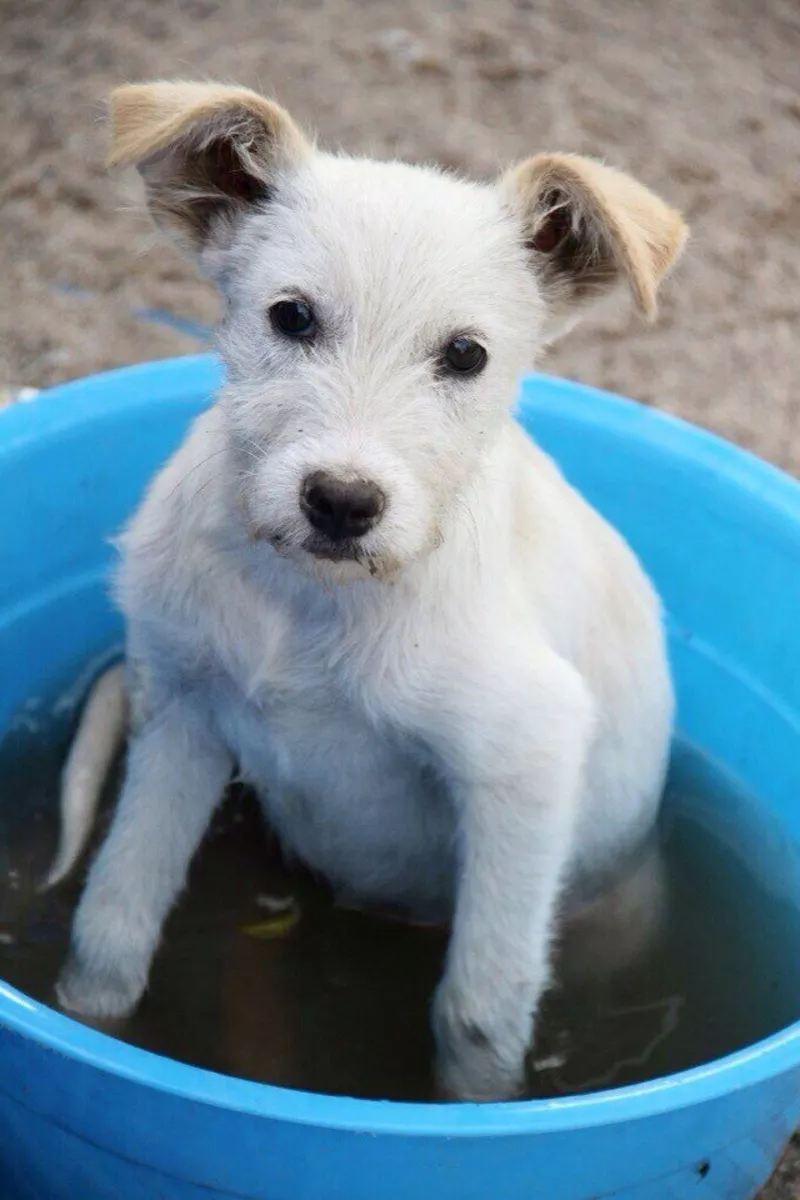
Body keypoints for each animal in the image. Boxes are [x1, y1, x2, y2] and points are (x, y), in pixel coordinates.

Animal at [50, 79, 690, 1099]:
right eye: (292, 317)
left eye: (466, 355)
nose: (342, 502)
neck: (307, 600)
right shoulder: (183, 711)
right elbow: (111, 926)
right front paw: (93, 1032)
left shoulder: (525, 760)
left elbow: (478, 1008)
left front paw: (473, 1110)